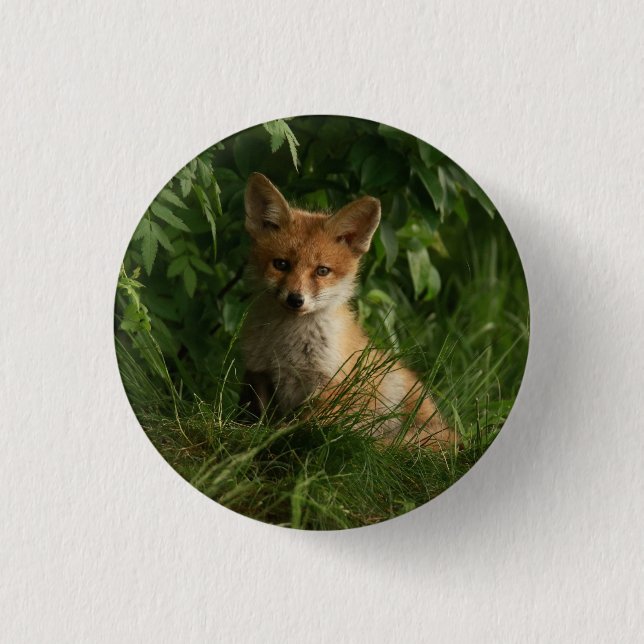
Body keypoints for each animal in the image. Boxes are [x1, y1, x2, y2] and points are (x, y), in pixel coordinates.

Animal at [239, 172, 455, 450]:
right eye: (281, 264)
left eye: (322, 271)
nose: (296, 299)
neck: (287, 346)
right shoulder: (259, 372)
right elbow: (260, 416)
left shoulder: (331, 384)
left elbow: (302, 425)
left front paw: (277, 437)